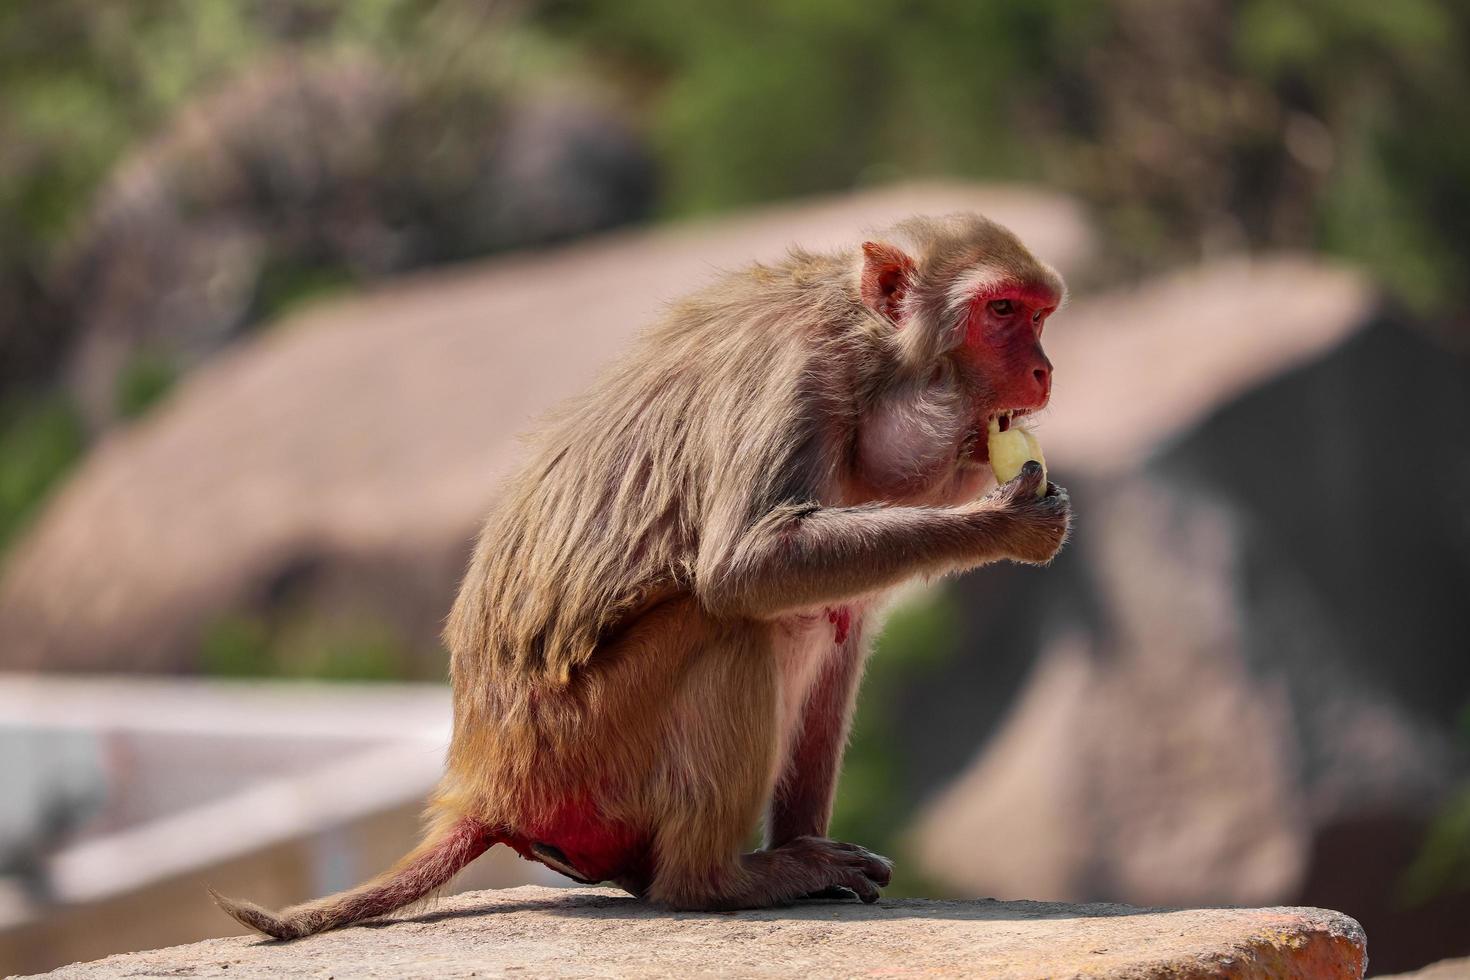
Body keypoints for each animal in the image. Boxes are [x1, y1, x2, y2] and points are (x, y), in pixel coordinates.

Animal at [210, 211, 1070, 940]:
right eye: (1001, 311)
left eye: (1039, 314)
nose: (1044, 371)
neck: (869, 366)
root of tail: (484, 788)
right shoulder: (794, 380)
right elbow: (746, 568)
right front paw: (1005, 522)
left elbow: (842, 630)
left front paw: (813, 845)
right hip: (583, 745)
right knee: (729, 625)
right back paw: (715, 882)